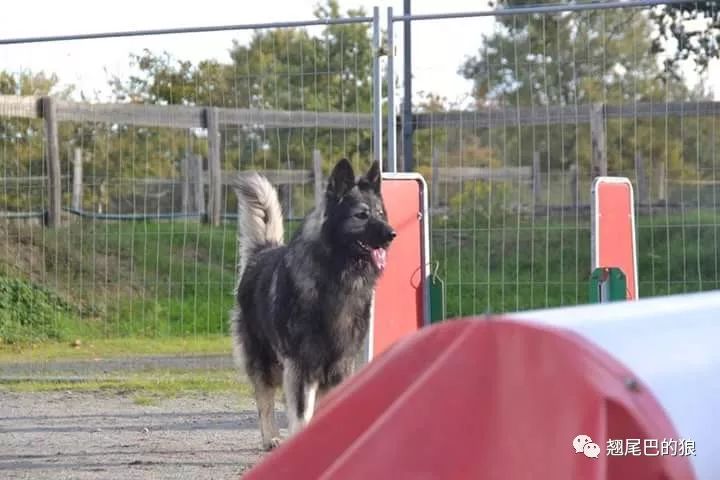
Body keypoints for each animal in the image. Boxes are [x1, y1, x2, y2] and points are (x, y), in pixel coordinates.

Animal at [231, 158, 396, 450]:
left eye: (380, 213)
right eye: (361, 215)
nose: (392, 234)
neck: (337, 278)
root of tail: (263, 250)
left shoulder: (341, 365)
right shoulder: (301, 365)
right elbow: (300, 414)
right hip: (264, 361)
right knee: (265, 400)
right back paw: (271, 438)